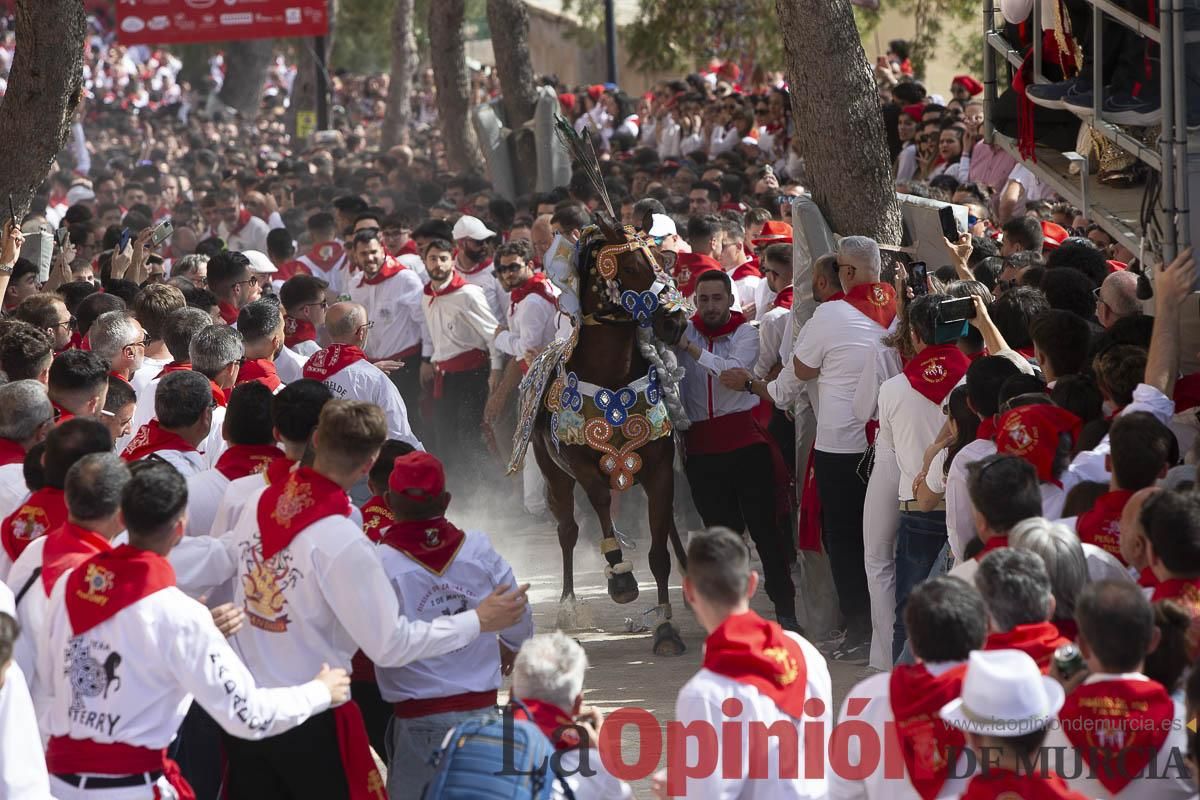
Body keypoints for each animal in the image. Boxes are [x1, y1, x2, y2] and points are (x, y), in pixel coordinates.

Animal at [530, 214, 691, 657]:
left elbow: (659, 550)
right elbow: (601, 504)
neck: (612, 379)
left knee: (668, 526)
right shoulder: (583, 465)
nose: (675, 321)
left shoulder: (659, 468)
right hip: (552, 473)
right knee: (568, 530)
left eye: (663, 261)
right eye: (633, 267)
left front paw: (667, 628)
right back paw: (568, 607)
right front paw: (620, 577)